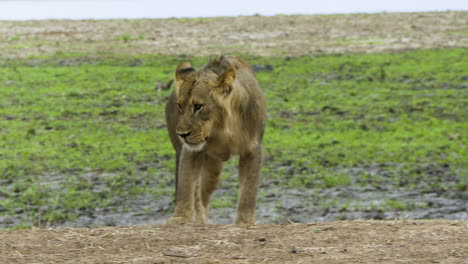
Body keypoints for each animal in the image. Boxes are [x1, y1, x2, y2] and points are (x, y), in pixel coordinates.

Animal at [165, 55, 266, 225]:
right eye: (180, 105)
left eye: (198, 106)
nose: (182, 134)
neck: (222, 129)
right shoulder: (191, 152)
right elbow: (186, 185)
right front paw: (180, 217)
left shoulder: (252, 150)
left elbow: (249, 189)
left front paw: (244, 221)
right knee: (196, 192)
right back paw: (199, 219)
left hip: (214, 169)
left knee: (204, 194)